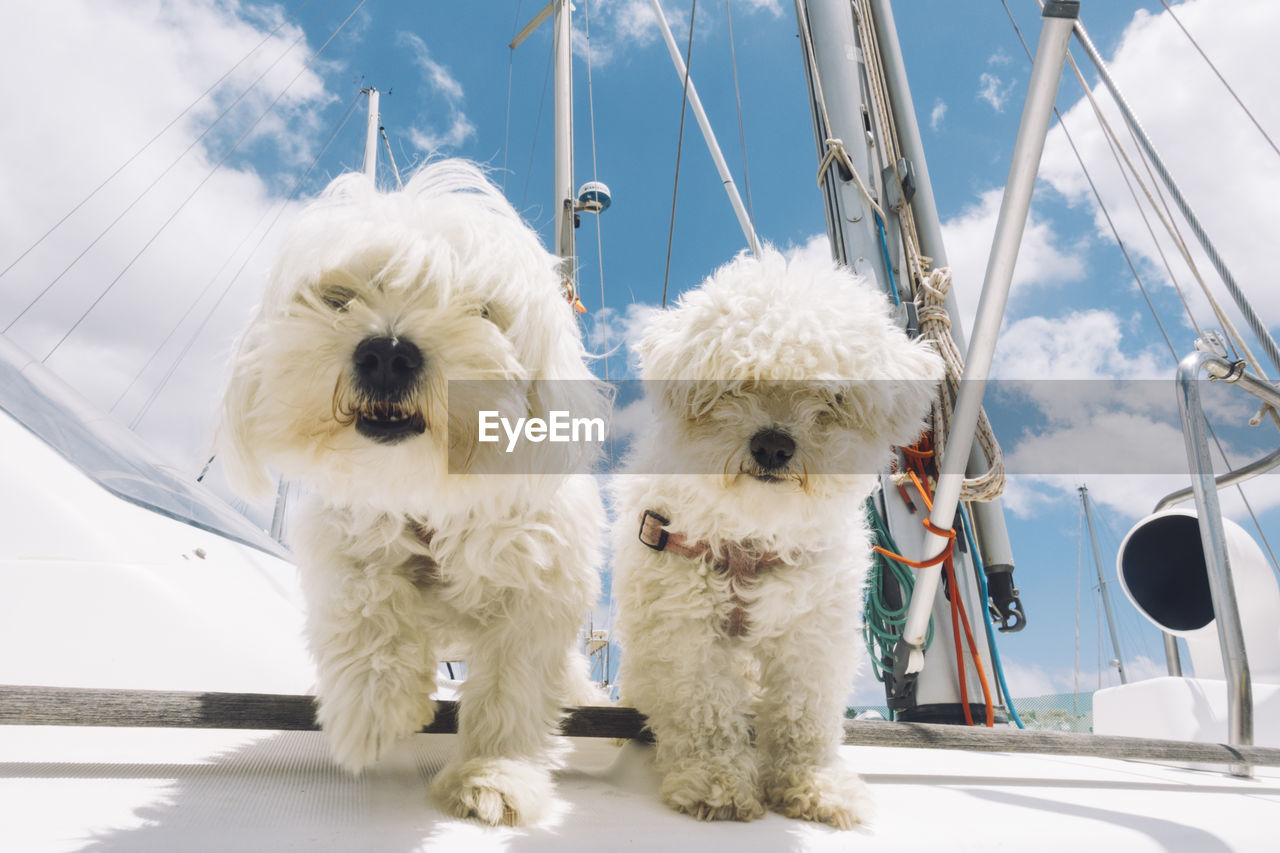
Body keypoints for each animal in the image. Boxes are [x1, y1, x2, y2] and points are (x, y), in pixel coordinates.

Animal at [218, 159, 604, 824]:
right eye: (337, 298)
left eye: (479, 309)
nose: (387, 353)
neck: (430, 486)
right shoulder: (343, 529)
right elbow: (365, 595)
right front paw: (372, 710)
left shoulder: (539, 587)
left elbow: (514, 687)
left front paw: (493, 775)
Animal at [609, 247, 942, 824]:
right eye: (738, 381)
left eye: (833, 396)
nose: (772, 445)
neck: (752, 532)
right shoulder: (683, 631)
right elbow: (703, 709)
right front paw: (715, 781)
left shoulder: (813, 634)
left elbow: (803, 717)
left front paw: (812, 783)